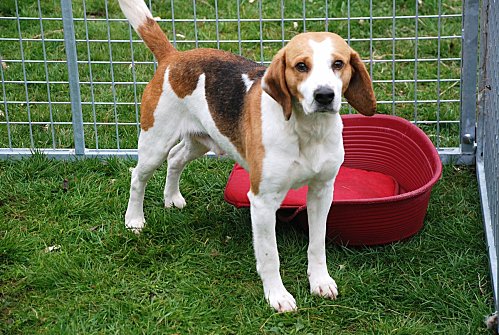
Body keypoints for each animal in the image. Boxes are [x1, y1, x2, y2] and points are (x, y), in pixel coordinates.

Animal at [119, 0, 376, 312]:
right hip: (154, 143)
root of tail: (174, 57)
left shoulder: (322, 192)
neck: (307, 130)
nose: (324, 95)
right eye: (301, 66)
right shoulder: (263, 201)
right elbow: (270, 256)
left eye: (338, 64)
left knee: (176, 159)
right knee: (138, 177)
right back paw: (134, 219)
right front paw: (277, 296)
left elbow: (317, 245)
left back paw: (172, 197)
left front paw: (320, 282)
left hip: (201, 141)